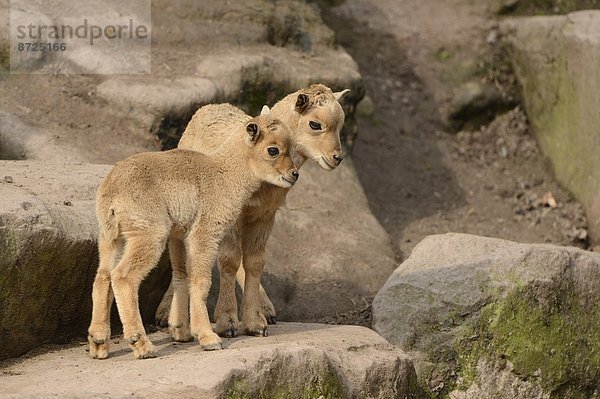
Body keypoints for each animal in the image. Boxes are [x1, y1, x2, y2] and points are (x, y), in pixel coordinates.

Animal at [86, 110, 298, 362]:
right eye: (272, 149)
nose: (294, 174)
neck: (224, 176)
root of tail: (111, 195)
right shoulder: (204, 233)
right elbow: (201, 281)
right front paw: (208, 338)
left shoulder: (179, 236)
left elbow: (182, 275)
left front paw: (182, 332)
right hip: (148, 236)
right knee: (123, 277)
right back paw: (142, 345)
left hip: (112, 239)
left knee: (103, 277)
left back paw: (99, 344)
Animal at [157, 84, 350, 340]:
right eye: (315, 124)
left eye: (341, 124)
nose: (336, 158)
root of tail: (210, 107)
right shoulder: (230, 216)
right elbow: (229, 261)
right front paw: (227, 322)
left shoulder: (264, 216)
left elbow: (254, 263)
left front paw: (255, 323)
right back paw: (166, 314)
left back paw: (266, 308)